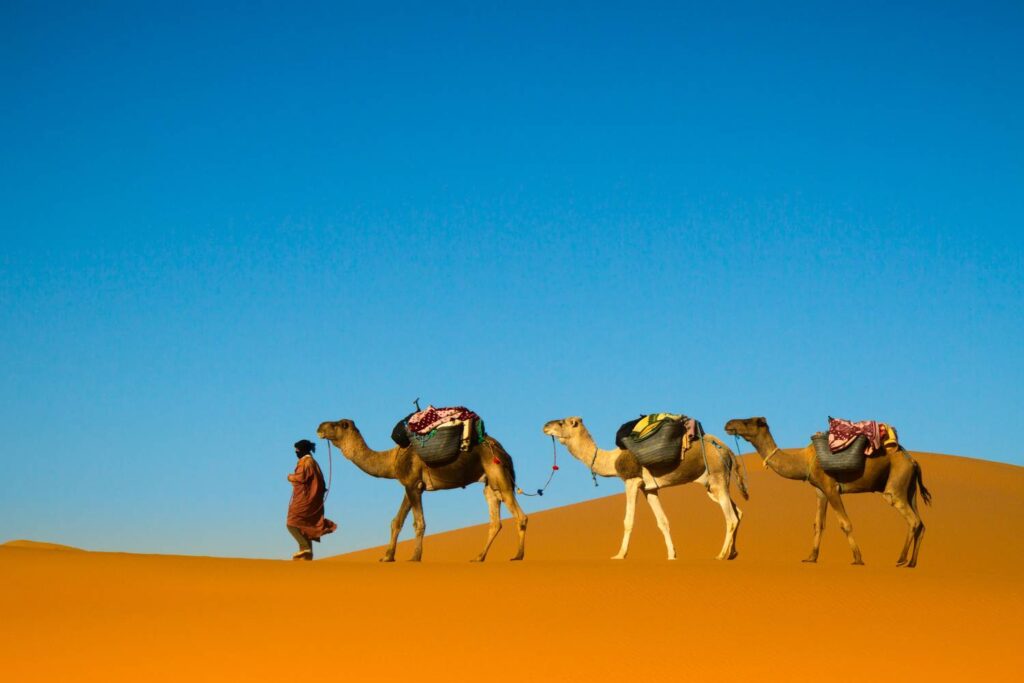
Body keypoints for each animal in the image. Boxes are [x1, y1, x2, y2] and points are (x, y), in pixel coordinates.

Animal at [317, 419, 528, 565]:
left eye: (340, 424)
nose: (320, 427)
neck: (391, 460)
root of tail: (504, 452)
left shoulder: (413, 484)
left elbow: (418, 523)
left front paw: (415, 556)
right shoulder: (410, 485)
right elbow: (396, 521)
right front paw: (387, 557)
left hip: (498, 473)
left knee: (520, 515)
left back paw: (518, 555)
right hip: (489, 483)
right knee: (495, 520)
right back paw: (478, 557)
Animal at [540, 417, 749, 561]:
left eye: (562, 422)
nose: (545, 426)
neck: (612, 460)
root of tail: (727, 449)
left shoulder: (632, 481)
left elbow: (628, 521)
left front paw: (619, 555)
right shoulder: (649, 489)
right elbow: (663, 521)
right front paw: (672, 555)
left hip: (717, 477)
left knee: (730, 517)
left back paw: (720, 555)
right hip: (713, 484)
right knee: (738, 512)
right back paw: (732, 553)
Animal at [724, 417, 933, 565]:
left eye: (747, 421)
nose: (728, 424)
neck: (805, 461)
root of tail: (913, 461)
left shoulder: (831, 487)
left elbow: (845, 523)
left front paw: (858, 559)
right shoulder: (820, 490)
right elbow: (818, 524)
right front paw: (811, 557)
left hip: (895, 486)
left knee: (913, 520)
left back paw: (901, 559)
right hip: (909, 489)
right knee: (921, 523)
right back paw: (912, 563)